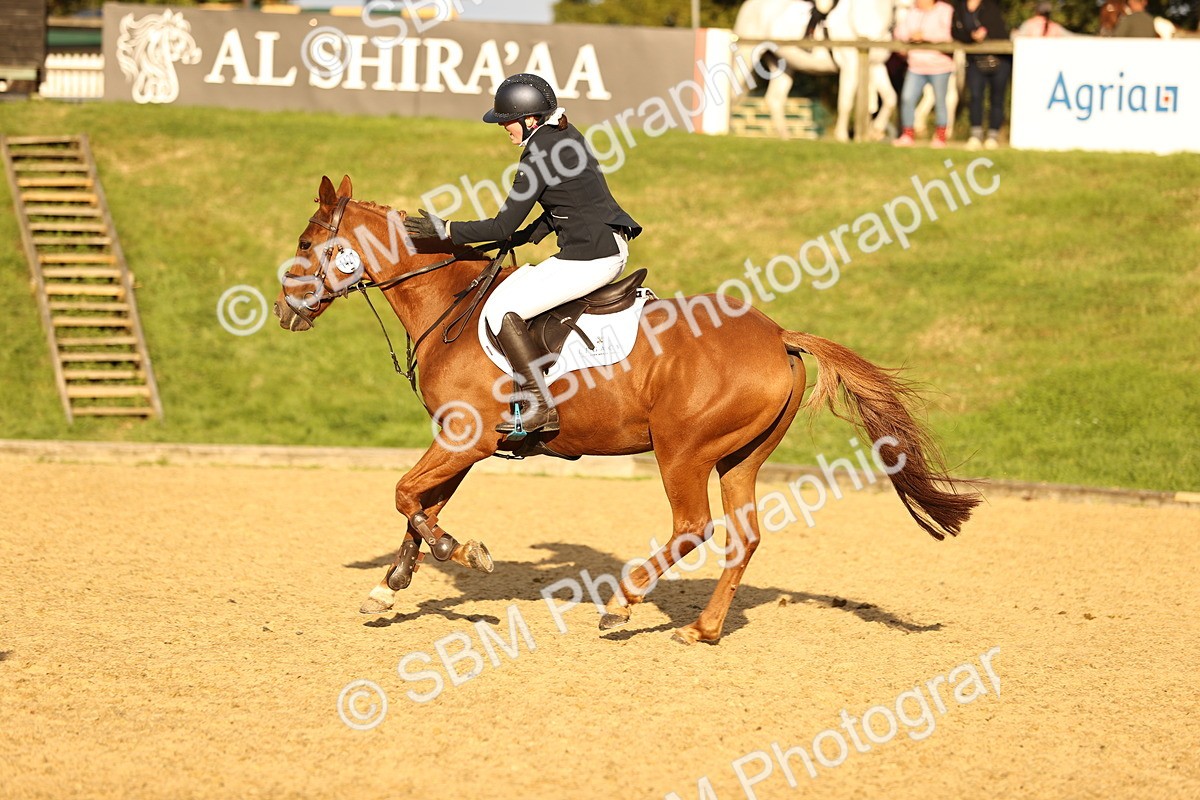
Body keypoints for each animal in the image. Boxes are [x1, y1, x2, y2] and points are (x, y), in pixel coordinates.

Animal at [274, 175, 982, 645]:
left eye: (307, 242)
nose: (283, 310)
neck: (453, 305)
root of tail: (778, 335)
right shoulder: (461, 442)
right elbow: (419, 503)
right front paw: (389, 586)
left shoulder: (464, 440)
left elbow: (407, 496)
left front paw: (462, 552)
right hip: (741, 457)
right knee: (743, 535)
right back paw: (703, 629)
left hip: (682, 450)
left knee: (694, 527)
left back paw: (623, 603)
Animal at [733, 0, 899, 142]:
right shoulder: (849, 66)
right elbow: (845, 102)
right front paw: (842, 136)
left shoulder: (876, 66)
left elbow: (890, 98)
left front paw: (876, 131)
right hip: (747, 54)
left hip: (783, 65)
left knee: (774, 99)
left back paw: (786, 137)